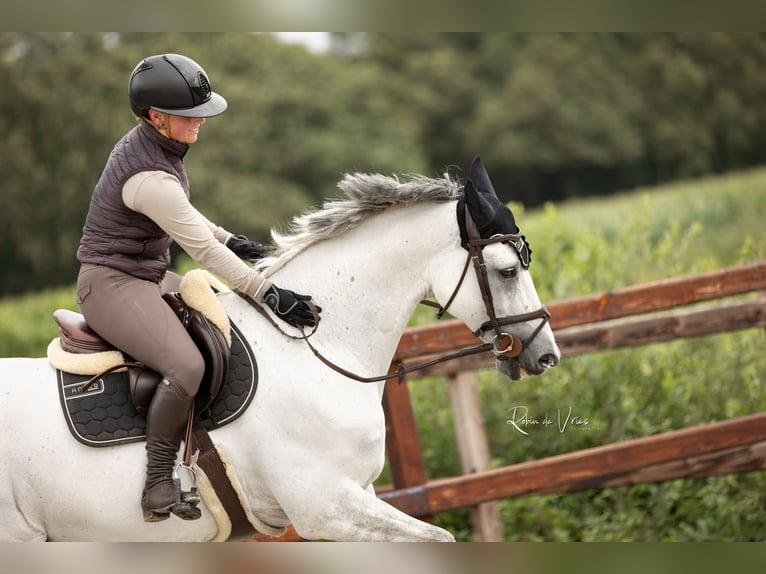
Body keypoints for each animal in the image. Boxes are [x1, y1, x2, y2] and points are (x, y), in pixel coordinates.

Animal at [0, 157, 560, 541]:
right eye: (507, 271)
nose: (544, 355)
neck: (317, 350)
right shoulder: (325, 506)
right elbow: (439, 538)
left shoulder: (357, 496)